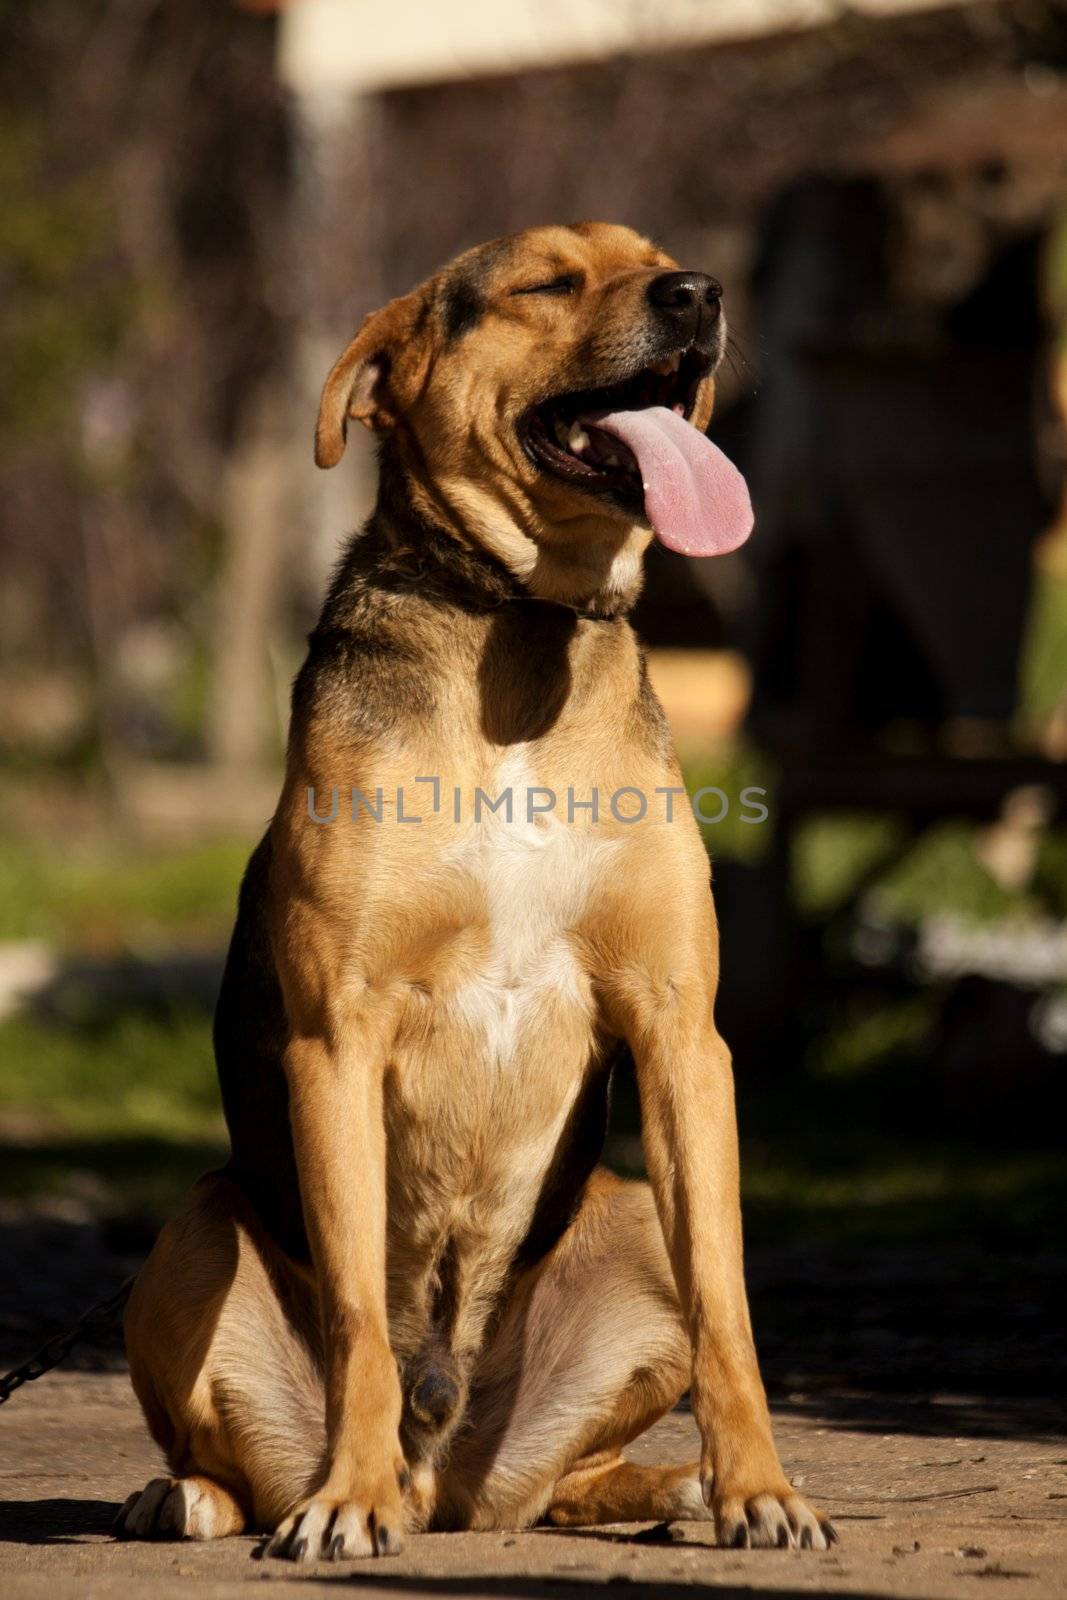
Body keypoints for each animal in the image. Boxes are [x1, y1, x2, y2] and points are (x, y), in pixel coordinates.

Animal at [115, 219, 831, 1555]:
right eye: (546, 282)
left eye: (658, 256)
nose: (700, 293)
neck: (521, 626)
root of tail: (447, 1480)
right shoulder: (335, 1036)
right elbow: (355, 1310)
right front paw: (343, 1498)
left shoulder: (679, 1030)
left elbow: (728, 1306)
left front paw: (758, 1486)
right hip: (195, 1227)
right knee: (237, 1454)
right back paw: (207, 1493)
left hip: (621, 1213)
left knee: (564, 1478)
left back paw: (670, 1488)